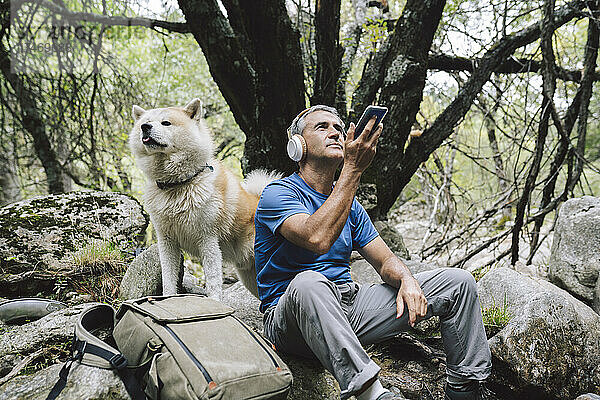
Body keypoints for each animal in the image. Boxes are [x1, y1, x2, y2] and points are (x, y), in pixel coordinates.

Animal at [130, 98, 280, 298]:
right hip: (251, 277)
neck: (178, 184)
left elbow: (213, 281)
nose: (145, 127)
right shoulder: (167, 241)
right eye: (146, 122)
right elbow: (168, 279)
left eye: (166, 123)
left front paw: (215, 302)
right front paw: (168, 298)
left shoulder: (207, 239)